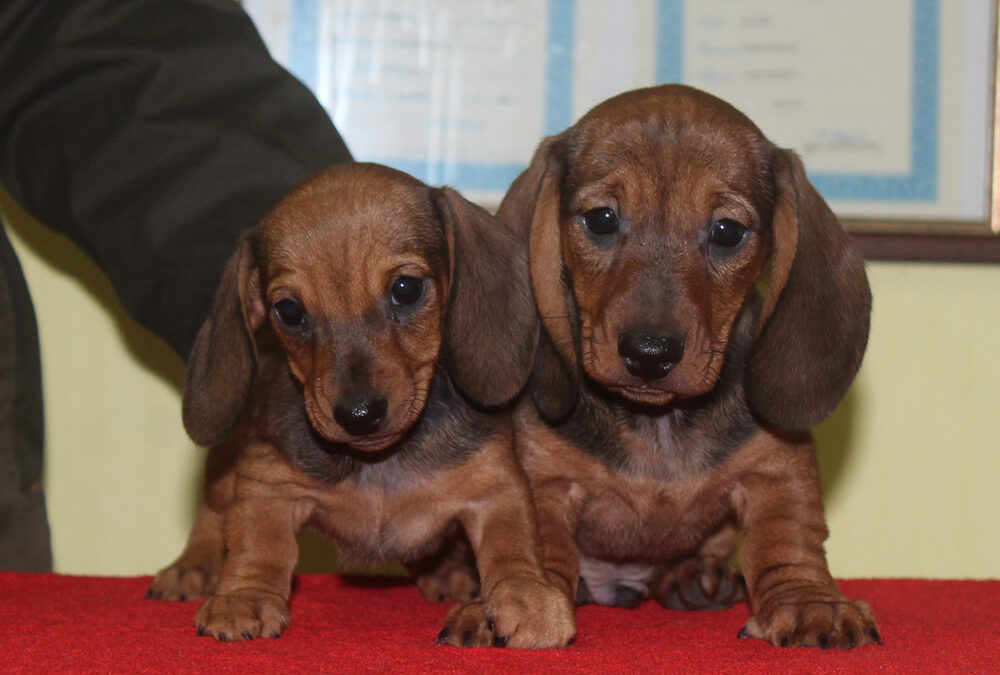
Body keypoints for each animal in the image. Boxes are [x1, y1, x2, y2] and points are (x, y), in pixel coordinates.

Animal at [145, 162, 576, 648]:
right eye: (289, 311)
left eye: (406, 288)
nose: (359, 416)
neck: (381, 463)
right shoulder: (267, 480)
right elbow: (257, 543)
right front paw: (244, 595)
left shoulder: (495, 486)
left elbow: (512, 545)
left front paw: (526, 593)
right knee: (212, 514)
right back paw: (193, 566)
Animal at [500, 84, 876, 648]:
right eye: (601, 219)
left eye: (727, 230)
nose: (649, 353)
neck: (660, 425)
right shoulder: (544, 484)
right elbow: (536, 546)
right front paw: (530, 599)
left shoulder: (778, 470)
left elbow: (789, 543)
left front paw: (809, 601)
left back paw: (697, 577)